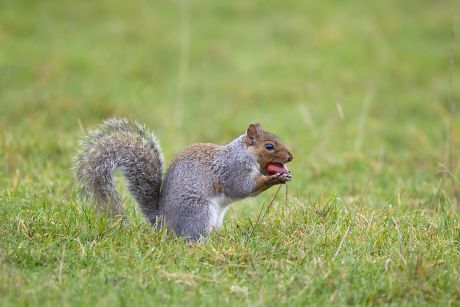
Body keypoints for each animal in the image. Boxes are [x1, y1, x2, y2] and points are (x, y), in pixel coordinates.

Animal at [73, 119, 292, 242]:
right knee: (191, 238)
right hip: (198, 212)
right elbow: (242, 188)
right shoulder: (232, 170)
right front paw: (273, 178)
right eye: (270, 146)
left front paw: (284, 175)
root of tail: (164, 225)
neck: (245, 154)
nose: (290, 157)